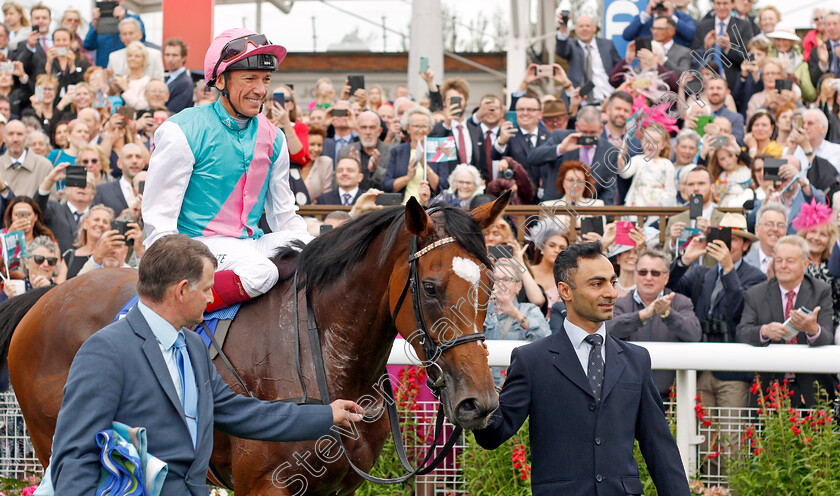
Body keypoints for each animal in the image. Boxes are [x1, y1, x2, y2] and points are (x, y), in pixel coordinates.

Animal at [0, 195, 506, 496]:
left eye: (490, 284)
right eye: (431, 288)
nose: (477, 401)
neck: (321, 356)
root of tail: (44, 298)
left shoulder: (338, 488)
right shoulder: (266, 485)